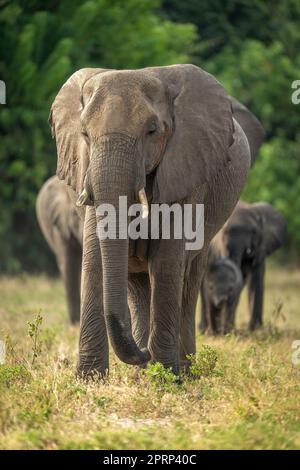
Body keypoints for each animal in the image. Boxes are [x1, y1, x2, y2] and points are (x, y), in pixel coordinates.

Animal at [48, 63, 264, 378]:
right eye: (85, 134)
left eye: (152, 131)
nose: (143, 352)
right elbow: (95, 257)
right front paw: (90, 379)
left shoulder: (186, 167)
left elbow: (167, 261)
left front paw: (166, 377)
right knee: (138, 284)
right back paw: (143, 370)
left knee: (189, 279)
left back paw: (182, 367)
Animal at [200, 200, 288, 332]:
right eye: (224, 231)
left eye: (254, 232)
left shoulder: (261, 248)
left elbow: (256, 280)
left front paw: (255, 329)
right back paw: (204, 329)